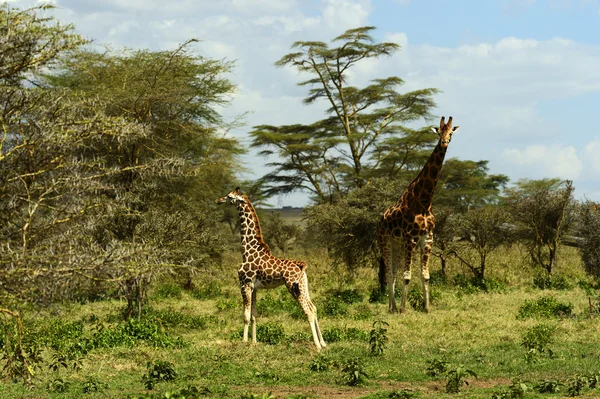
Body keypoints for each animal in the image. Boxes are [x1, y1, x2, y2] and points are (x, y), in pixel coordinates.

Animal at [217, 188, 328, 350]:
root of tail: (301, 265)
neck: (247, 250)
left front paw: (244, 342)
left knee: (307, 311)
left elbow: (246, 316)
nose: (218, 200)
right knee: (313, 308)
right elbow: (254, 315)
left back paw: (317, 346)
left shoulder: (244, 284)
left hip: (292, 286)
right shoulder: (254, 287)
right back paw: (323, 343)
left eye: (230, 196)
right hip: (303, 286)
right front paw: (254, 342)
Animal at [378, 117, 462, 314]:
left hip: (397, 243)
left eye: (451, 133)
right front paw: (404, 309)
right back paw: (393, 308)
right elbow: (407, 275)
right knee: (389, 272)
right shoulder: (410, 238)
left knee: (393, 272)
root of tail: (380, 218)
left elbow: (425, 275)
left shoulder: (427, 238)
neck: (424, 201)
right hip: (385, 240)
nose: (444, 142)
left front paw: (427, 307)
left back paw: (392, 306)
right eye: (439, 132)